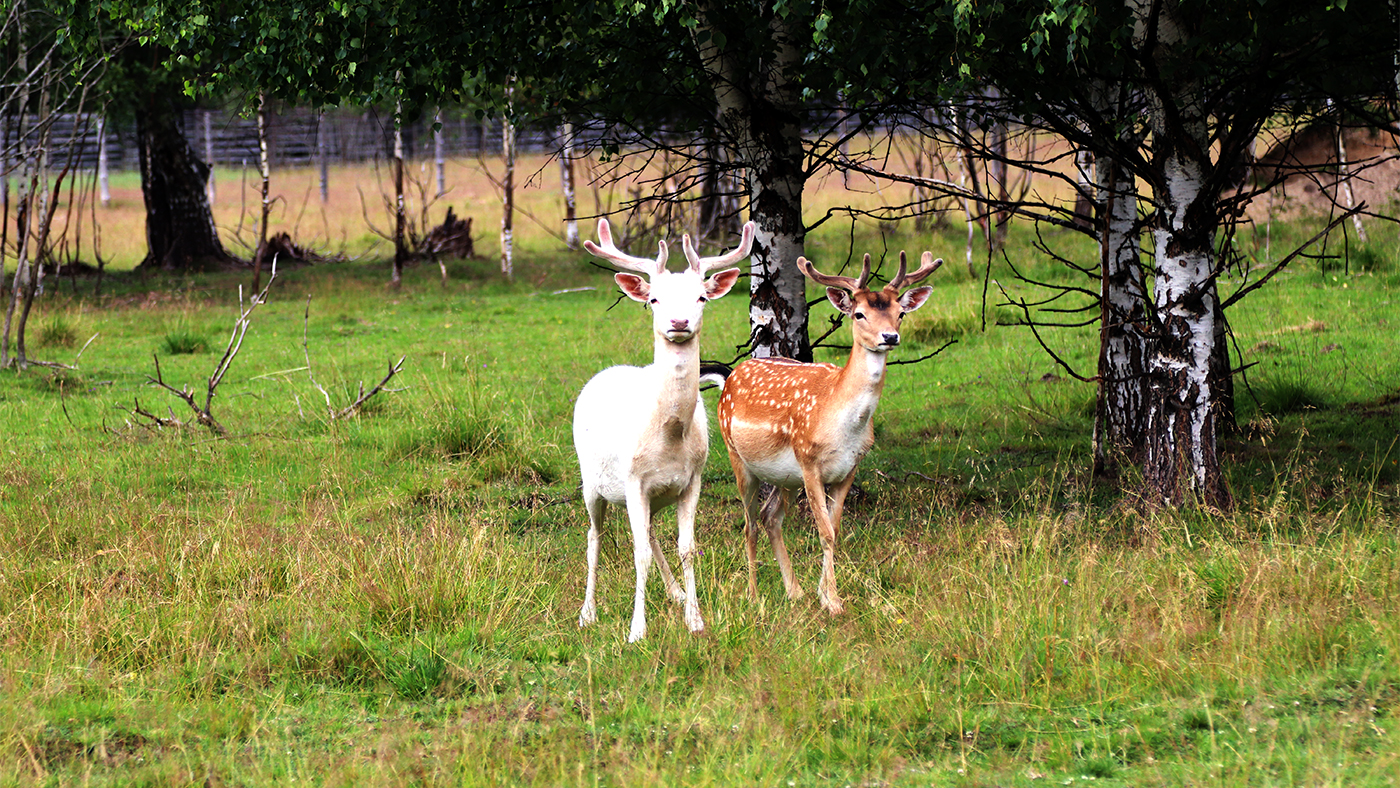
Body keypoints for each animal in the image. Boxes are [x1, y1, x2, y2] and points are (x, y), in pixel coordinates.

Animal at [574, 215, 756, 641]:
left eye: (701, 298)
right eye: (653, 299)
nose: (678, 322)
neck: (669, 437)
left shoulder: (692, 479)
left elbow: (686, 547)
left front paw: (695, 619)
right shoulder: (632, 480)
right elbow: (637, 552)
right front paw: (636, 631)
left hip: (652, 497)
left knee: (652, 533)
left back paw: (674, 594)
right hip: (592, 482)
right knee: (594, 537)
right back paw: (587, 612)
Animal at [722, 251, 940, 615]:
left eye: (900, 313)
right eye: (859, 313)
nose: (890, 337)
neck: (843, 425)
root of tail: (732, 375)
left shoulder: (849, 468)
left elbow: (835, 529)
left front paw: (826, 596)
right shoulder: (809, 462)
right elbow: (824, 531)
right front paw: (834, 602)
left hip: (784, 477)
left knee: (770, 517)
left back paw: (794, 591)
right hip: (738, 457)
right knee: (749, 524)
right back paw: (754, 597)